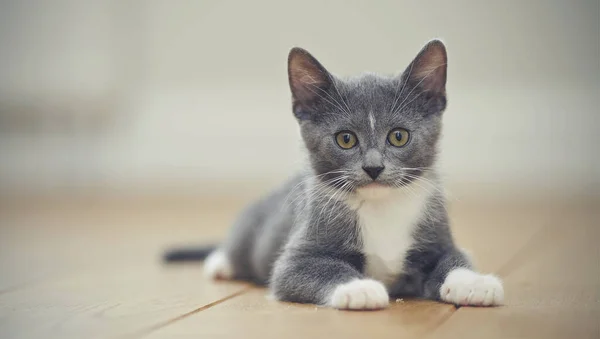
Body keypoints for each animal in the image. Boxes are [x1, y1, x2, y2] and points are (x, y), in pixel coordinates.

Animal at [163, 39, 502, 310]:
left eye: (399, 136)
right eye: (346, 139)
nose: (373, 167)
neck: (381, 208)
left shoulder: (438, 238)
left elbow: (454, 257)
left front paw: (474, 282)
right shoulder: (295, 256)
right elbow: (309, 269)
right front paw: (359, 288)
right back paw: (220, 262)